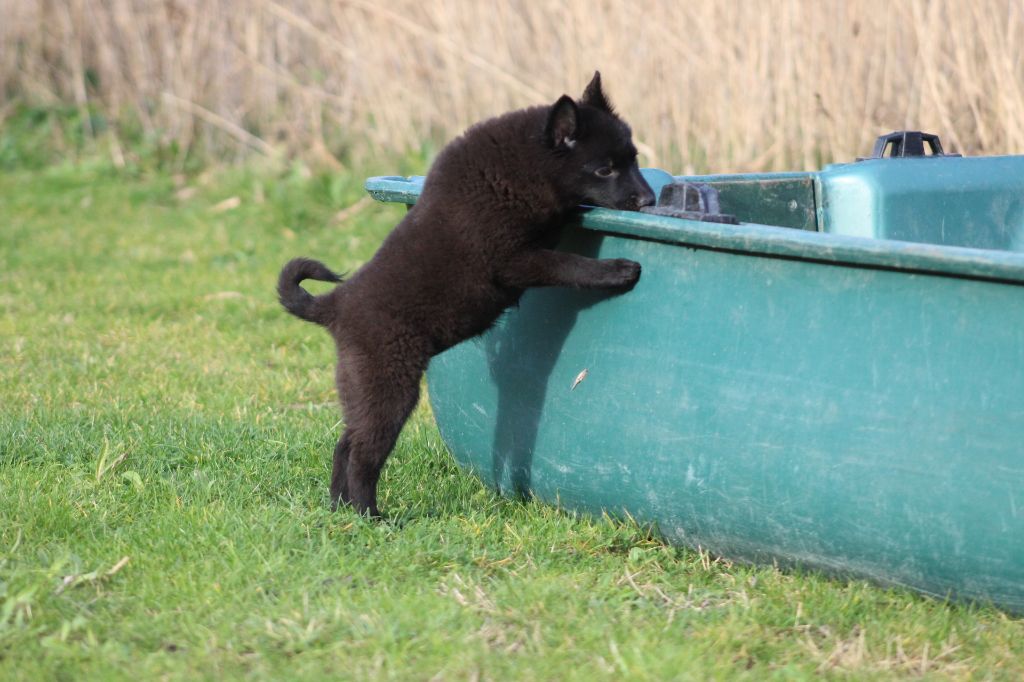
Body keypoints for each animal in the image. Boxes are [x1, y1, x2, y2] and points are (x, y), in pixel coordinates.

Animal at [276, 71, 651, 512]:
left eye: (634, 159)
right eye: (605, 169)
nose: (649, 199)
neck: (526, 164)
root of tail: (335, 304)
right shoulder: (512, 260)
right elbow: (567, 264)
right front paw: (617, 271)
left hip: (359, 386)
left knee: (345, 444)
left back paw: (341, 510)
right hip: (387, 382)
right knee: (364, 454)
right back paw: (371, 514)